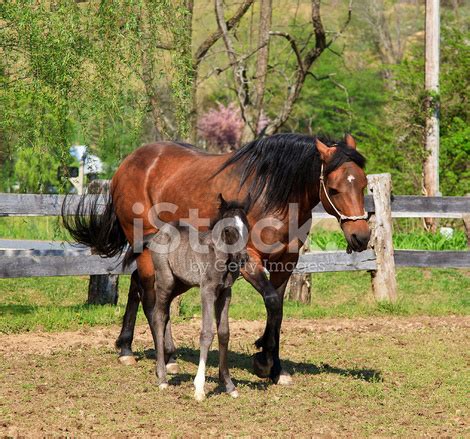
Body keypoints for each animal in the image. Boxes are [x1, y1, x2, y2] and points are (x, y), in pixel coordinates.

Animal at [146, 194, 250, 400]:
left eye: (246, 226)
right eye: (228, 229)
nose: (243, 258)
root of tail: (160, 233)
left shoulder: (225, 293)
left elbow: (224, 333)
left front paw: (229, 385)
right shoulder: (207, 291)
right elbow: (207, 333)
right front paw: (199, 388)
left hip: (180, 284)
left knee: (166, 314)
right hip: (165, 281)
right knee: (158, 317)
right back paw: (162, 378)